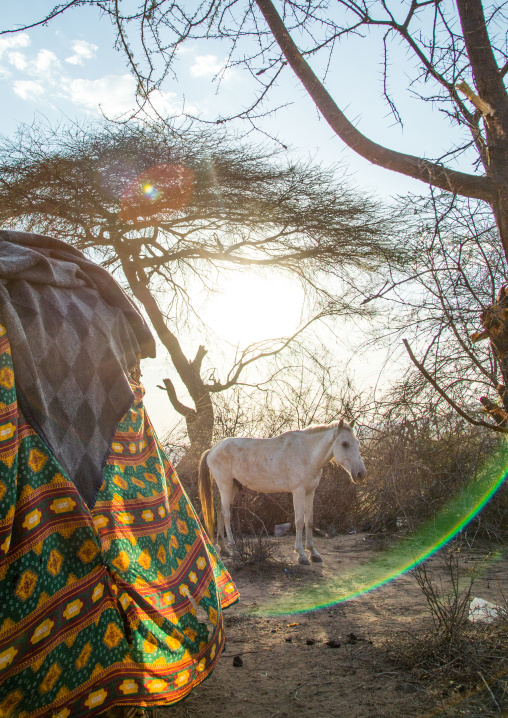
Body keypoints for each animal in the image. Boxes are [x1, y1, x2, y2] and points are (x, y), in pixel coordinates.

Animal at [198, 419, 366, 565]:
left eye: (357, 443)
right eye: (344, 443)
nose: (361, 474)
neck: (306, 453)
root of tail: (212, 450)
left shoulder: (310, 491)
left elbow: (309, 521)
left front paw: (313, 553)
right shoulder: (298, 492)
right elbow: (299, 521)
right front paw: (301, 555)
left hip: (232, 486)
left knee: (219, 511)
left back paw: (224, 549)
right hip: (225, 485)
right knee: (226, 514)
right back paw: (233, 548)